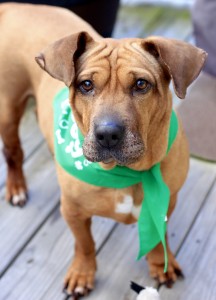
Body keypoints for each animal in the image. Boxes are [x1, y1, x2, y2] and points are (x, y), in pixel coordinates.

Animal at [0, 2, 206, 298]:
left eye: (141, 84)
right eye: (86, 84)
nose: (107, 134)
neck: (128, 171)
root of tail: (21, 6)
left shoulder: (168, 200)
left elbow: (158, 237)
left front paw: (160, 264)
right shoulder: (72, 211)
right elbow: (85, 244)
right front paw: (82, 273)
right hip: (8, 109)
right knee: (13, 153)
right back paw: (16, 187)